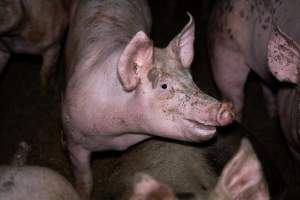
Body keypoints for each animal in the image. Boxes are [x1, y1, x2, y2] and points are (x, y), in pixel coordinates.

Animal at [62, 0, 237, 198]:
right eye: (164, 86)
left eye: (191, 78)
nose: (227, 108)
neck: (119, 137)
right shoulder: (73, 138)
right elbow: (85, 179)